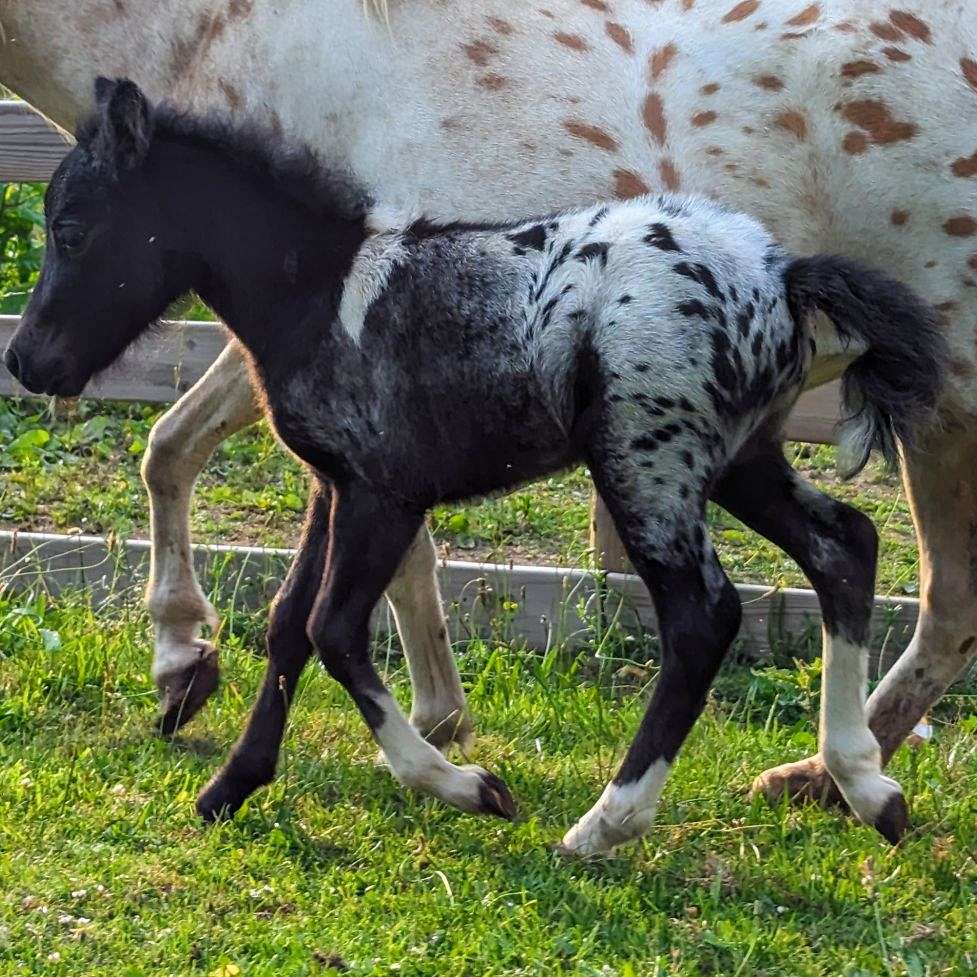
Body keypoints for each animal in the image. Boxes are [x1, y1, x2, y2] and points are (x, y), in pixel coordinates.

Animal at [3, 0, 976, 811]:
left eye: (71, 229)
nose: (27, 359)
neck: (328, 283)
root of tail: (780, 276)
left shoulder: (382, 490)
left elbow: (332, 622)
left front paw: (453, 772)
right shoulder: (336, 480)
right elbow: (287, 620)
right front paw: (230, 775)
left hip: (660, 469)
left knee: (725, 614)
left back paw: (621, 819)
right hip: (745, 458)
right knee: (847, 547)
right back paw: (852, 782)